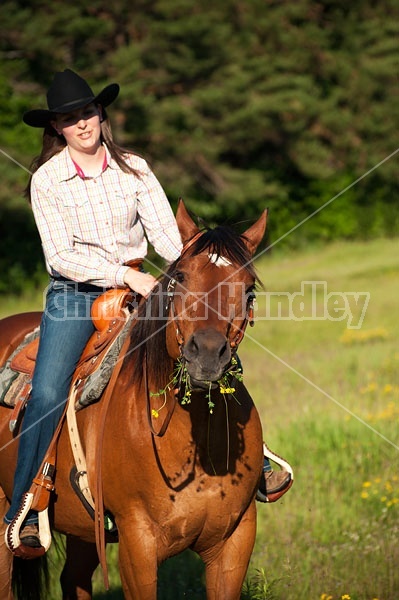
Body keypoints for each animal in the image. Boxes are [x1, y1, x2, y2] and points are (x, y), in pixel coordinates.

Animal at [0, 203, 268, 600]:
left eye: (248, 288)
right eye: (180, 277)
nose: (206, 354)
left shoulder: (234, 542)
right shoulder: (136, 545)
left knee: (73, 579)